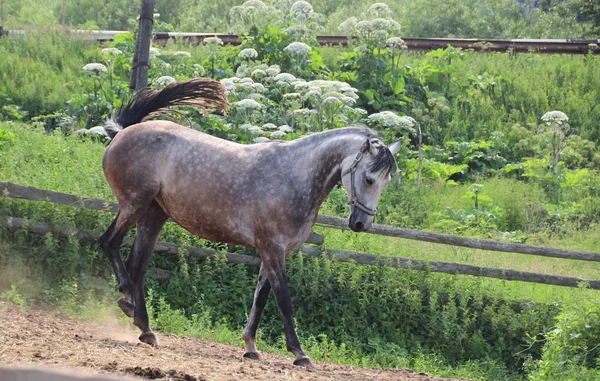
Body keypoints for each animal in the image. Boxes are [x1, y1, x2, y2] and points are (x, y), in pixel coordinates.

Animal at [98, 77, 398, 366]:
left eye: (387, 181)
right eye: (369, 178)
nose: (361, 224)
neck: (293, 176)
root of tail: (122, 132)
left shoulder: (272, 252)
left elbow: (260, 299)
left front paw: (251, 348)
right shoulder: (272, 249)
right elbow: (284, 300)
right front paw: (299, 354)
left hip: (152, 217)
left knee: (137, 266)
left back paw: (144, 327)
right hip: (134, 205)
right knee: (109, 244)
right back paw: (126, 298)